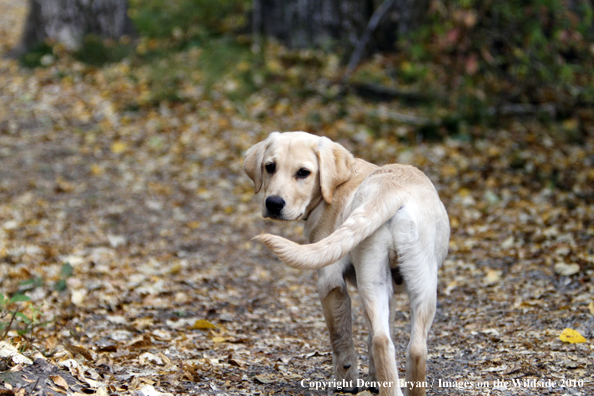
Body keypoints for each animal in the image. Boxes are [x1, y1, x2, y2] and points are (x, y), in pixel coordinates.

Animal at [243, 131, 446, 394]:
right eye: (270, 167)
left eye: (303, 172)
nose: (273, 203)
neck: (332, 189)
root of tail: (390, 188)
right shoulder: (389, 293)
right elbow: (374, 336)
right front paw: (374, 380)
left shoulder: (330, 283)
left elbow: (340, 337)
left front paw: (346, 381)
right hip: (415, 283)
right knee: (410, 347)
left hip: (374, 281)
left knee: (382, 341)